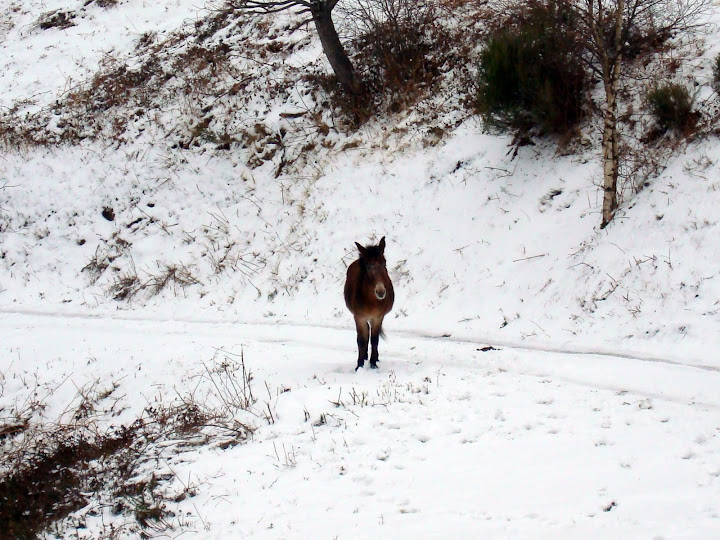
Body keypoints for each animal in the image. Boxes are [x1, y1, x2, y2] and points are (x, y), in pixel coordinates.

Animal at [344, 237, 394, 372]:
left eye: (384, 263)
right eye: (368, 266)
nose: (381, 292)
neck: (371, 300)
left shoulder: (378, 317)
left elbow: (374, 339)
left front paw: (373, 364)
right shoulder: (359, 317)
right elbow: (362, 340)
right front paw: (359, 365)